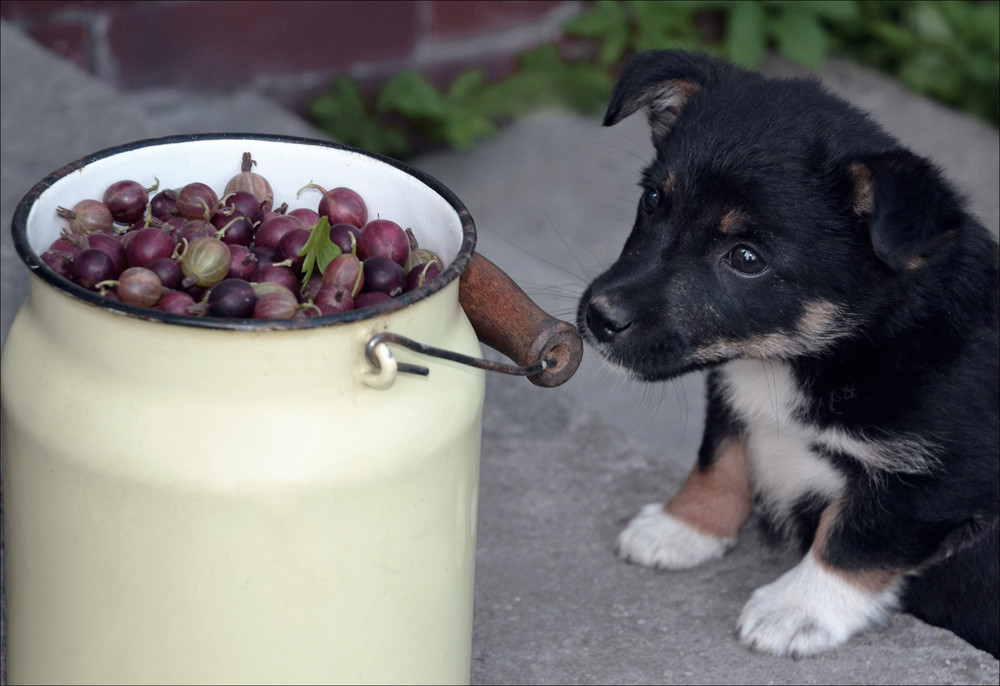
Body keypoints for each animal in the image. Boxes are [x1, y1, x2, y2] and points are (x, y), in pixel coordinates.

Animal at [580, 49, 1000, 660]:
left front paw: (797, 610)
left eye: (746, 258)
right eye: (654, 200)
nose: (599, 318)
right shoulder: (733, 395)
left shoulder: (941, 479)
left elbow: (857, 538)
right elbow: (720, 458)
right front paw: (684, 527)